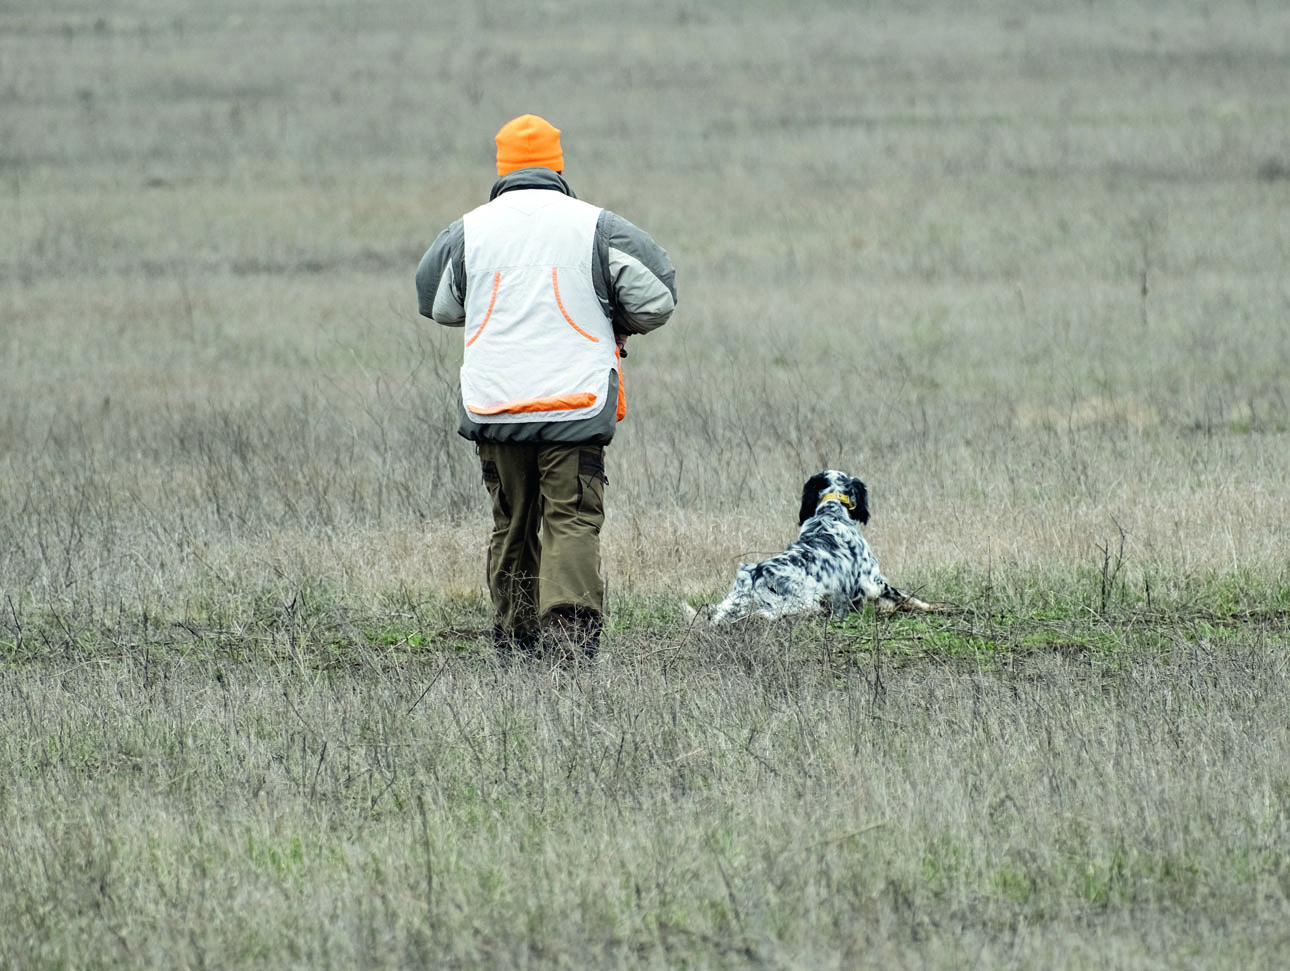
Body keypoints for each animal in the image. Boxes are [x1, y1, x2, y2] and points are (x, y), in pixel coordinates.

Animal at [686, 471, 939, 624]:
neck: (831, 511)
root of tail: (754, 577)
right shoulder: (873, 581)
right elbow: (908, 597)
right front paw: (933, 607)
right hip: (805, 602)